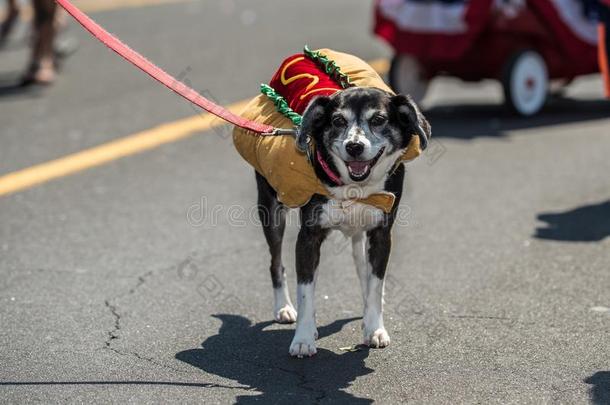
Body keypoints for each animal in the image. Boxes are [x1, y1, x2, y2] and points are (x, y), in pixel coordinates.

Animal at [232, 48, 428, 356]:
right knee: (276, 262)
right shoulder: (308, 237)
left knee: (362, 268)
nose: (354, 146)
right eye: (338, 121)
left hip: (361, 231)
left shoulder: (381, 233)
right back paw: (284, 308)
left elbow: (375, 284)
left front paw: (375, 328)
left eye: (379, 120)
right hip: (271, 210)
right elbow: (306, 291)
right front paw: (303, 338)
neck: (353, 188)